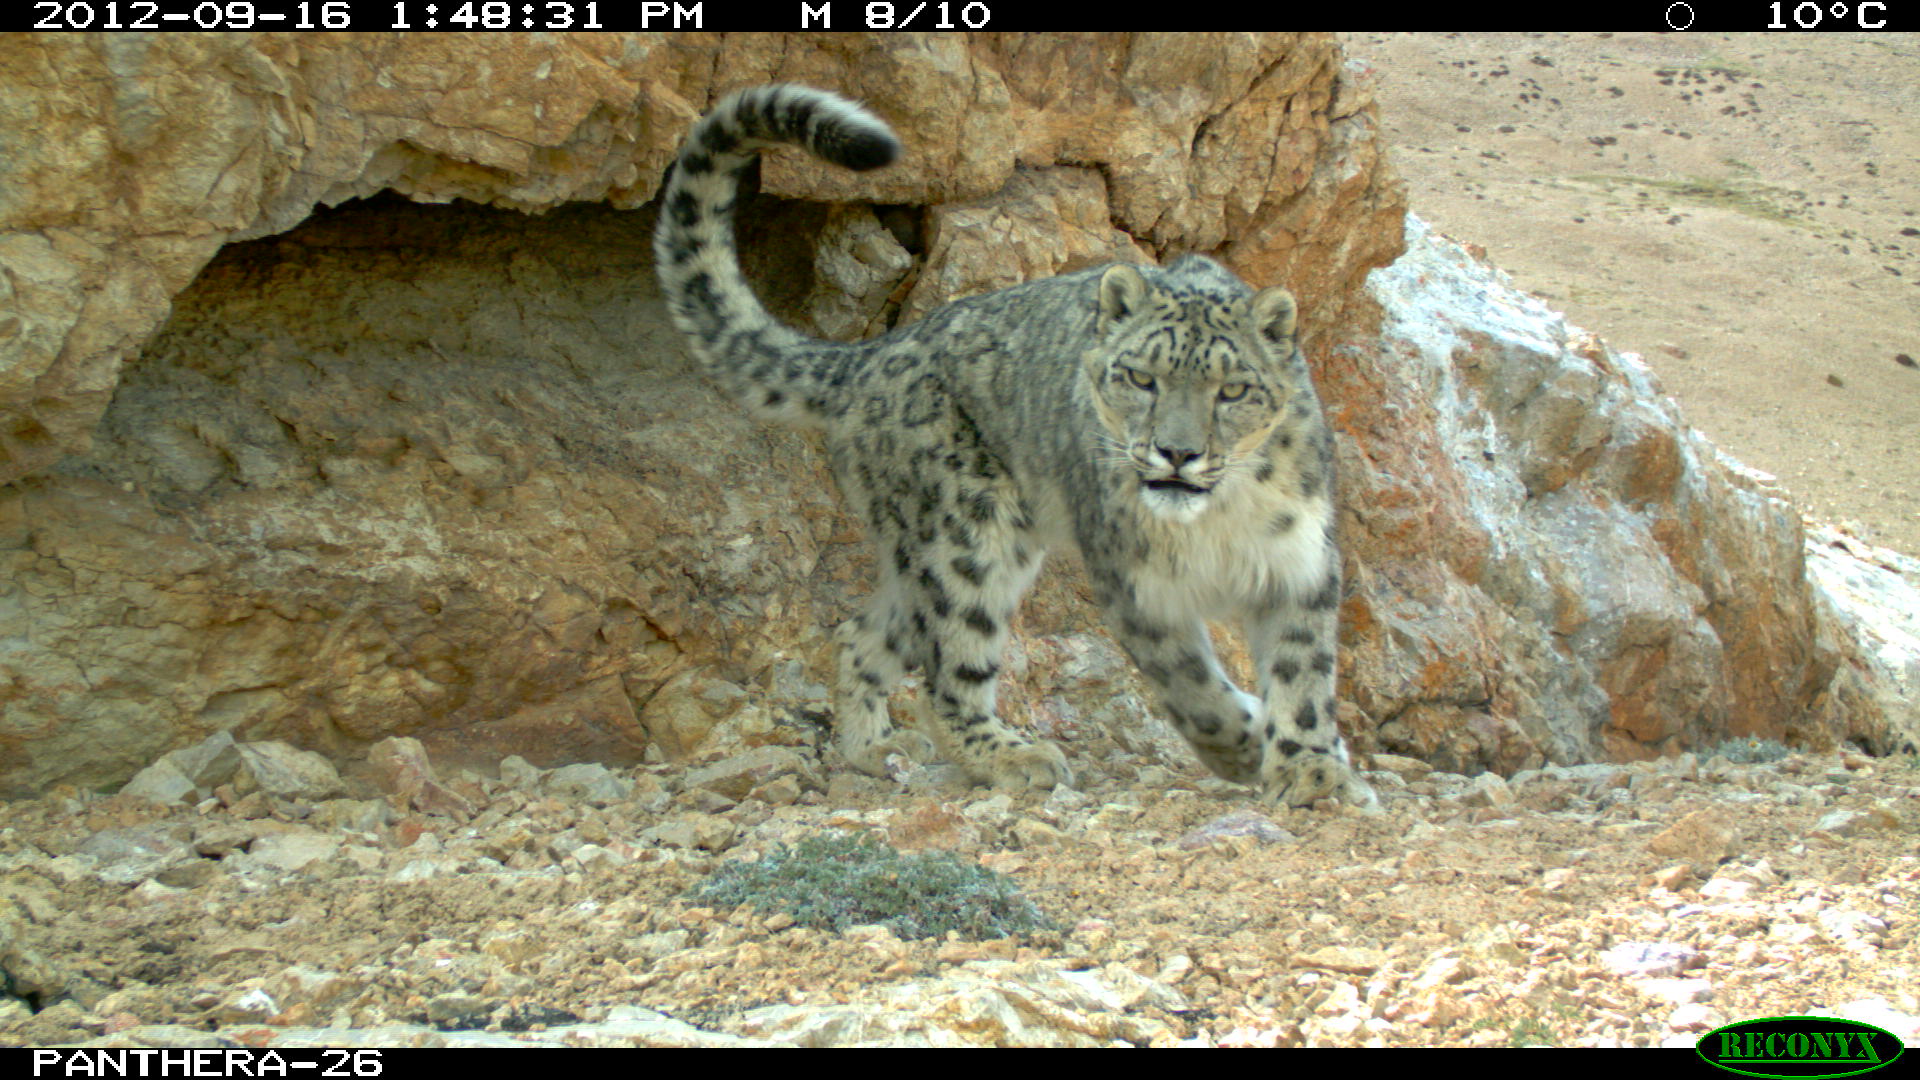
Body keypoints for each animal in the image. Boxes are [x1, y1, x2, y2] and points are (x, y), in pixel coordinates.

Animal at [652, 84, 1377, 809]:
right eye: (1141, 377)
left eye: (1232, 390)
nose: (1176, 452)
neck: (1216, 523)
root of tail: (878, 352)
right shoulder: (1136, 583)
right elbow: (1189, 683)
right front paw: (1245, 744)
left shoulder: (1297, 564)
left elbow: (1303, 671)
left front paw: (1312, 767)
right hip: (961, 537)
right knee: (950, 665)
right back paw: (1010, 755)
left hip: (925, 551)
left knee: (864, 634)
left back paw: (872, 748)